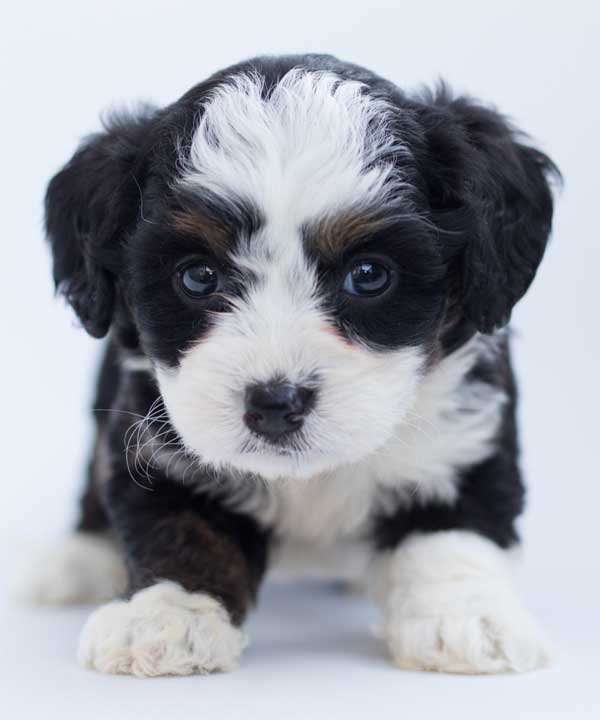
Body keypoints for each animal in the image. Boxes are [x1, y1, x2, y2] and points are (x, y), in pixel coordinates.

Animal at [32, 54, 556, 676]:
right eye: (198, 277)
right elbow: (179, 524)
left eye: (369, 275)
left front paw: (465, 617)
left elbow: (452, 527)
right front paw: (167, 614)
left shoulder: (463, 431)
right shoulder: (153, 437)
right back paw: (78, 560)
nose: (275, 404)